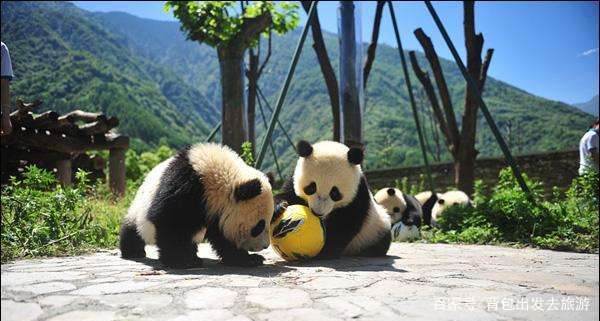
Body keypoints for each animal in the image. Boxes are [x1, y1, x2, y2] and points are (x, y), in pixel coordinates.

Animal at [119, 142, 274, 268]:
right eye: (259, 226)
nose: (265, 245)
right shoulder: (185, 184)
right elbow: (168, 220)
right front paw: (180, 260)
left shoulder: (214, 209)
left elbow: (222, 236)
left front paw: (248, 259)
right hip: (141, 207)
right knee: (134, 229)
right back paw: (133, 251)